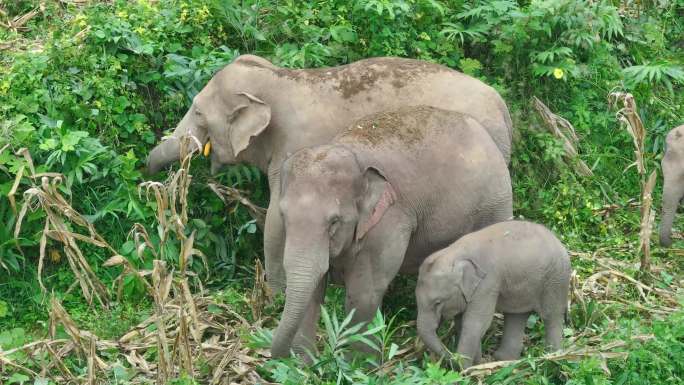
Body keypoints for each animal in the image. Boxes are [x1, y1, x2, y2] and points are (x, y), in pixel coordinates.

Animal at [146, 54, 512, 292]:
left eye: (198, 113)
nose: (147, 177)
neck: (279, 79)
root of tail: (504, 107)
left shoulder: (297, 148)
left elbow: (276, 221)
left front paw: (274, 298)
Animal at [270, 105, 510, 356]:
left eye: (334, 222)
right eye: (283, 216)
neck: (352, 153)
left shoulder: (388, 222)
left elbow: (363, 296)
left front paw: (356, 363)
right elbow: (313, 293)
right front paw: (304, 363)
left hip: (495, 207)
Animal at [416, 219, 572, 366]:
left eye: (437, 302)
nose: (451, 358)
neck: (456, 252)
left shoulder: (487, 284)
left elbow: (476, 323)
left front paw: (464, 370)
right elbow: (462, 323)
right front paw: (476, 364)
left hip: (556, 279)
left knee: (551, 316)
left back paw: (553, 357)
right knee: (516, 315)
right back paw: (504, 360)